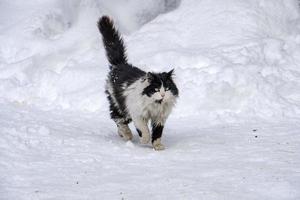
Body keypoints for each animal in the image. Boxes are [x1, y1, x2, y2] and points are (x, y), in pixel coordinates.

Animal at [98, 16, 178, 150]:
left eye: (166, 89)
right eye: (156, 89)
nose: (162, 95)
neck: (155, 105)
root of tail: (120, 64)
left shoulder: (160, 117)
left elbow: (158, 133)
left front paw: (158, 146)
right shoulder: (137, 114)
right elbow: (143, 129)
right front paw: (145, 140)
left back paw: (122, 134)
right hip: (120, 105)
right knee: (117, 117)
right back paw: (127, 134)